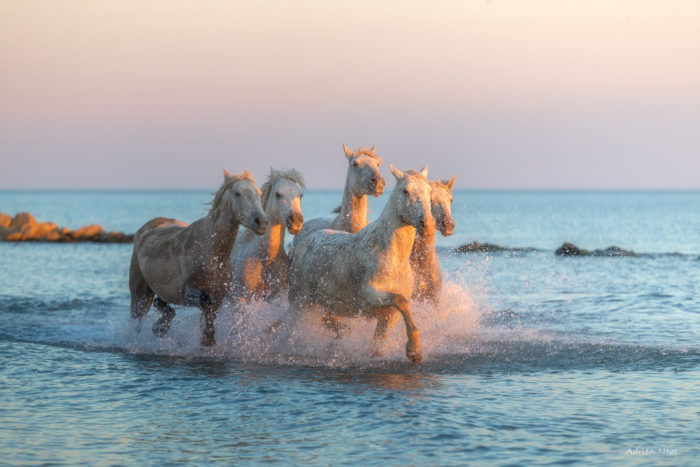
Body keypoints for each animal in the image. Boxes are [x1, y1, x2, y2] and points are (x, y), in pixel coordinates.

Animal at [129, 169, 268, 346]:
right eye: (237, 193)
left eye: (259, 193)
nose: (261, 222)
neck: (211, 252)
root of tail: (145, 228)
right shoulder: (187, 290)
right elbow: (204, 303)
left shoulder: (218, 295)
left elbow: (210, 319)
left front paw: (206, 340)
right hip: (140, 294)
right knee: (138, 319)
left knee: (160, 303)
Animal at [288, 165, 435, 363]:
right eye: (405, 191)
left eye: (429, 191)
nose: (427, 224)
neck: (393, 256)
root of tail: (303, 243)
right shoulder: (370, 296)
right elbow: (401, 301)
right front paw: (414, 350)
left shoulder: (389, 315)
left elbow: (379, 341)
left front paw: (412, 351)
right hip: (299, 303)